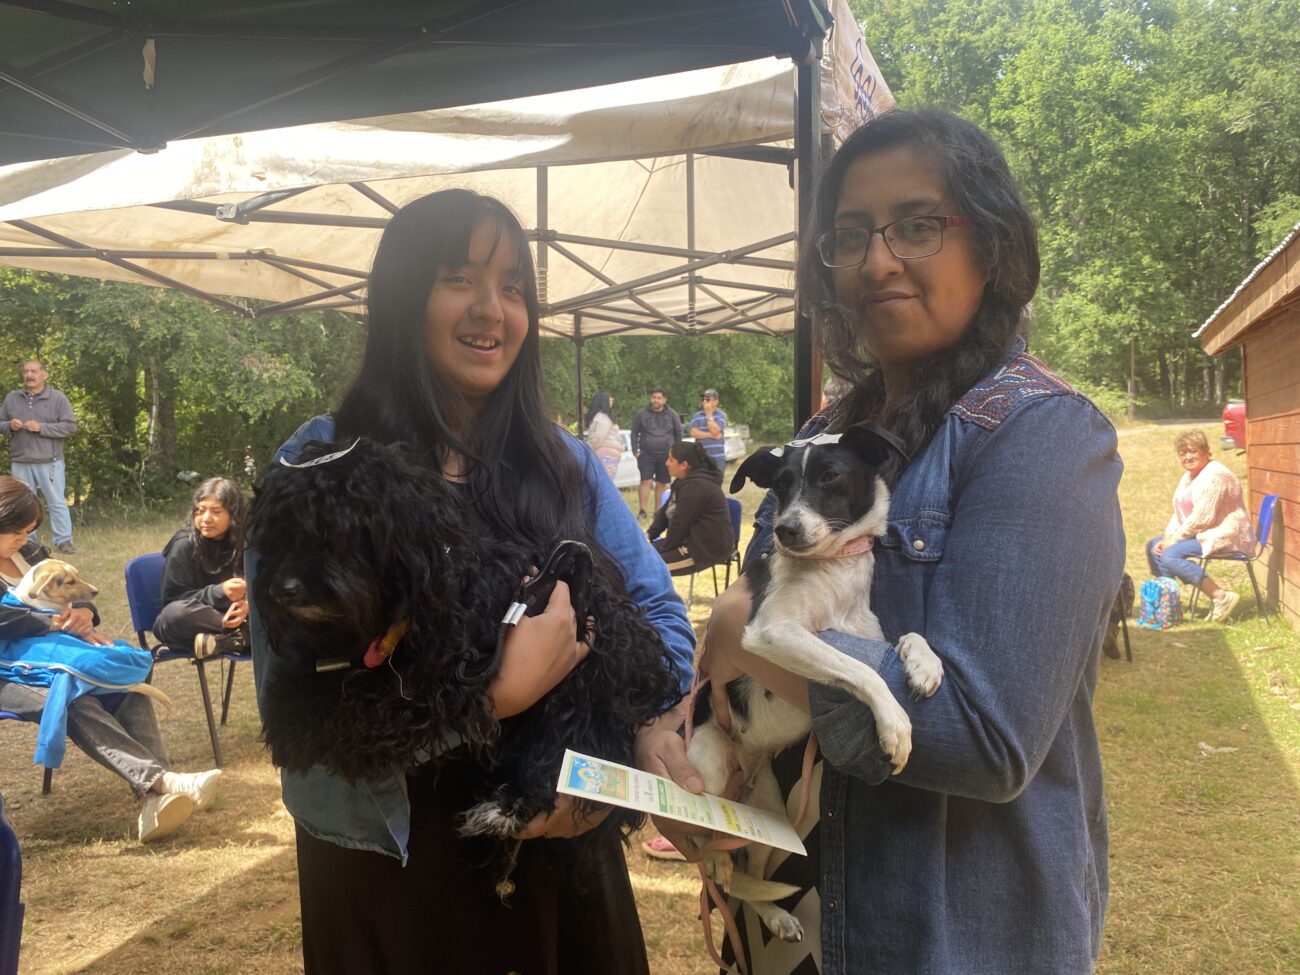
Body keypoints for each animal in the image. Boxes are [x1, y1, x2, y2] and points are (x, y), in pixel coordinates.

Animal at [686, 424, 944, 942]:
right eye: (779, 486)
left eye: (830, 477)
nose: (784, 530)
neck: (834, 571)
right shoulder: (773, 632)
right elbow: (863, 671)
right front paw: (895, 725)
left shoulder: (867, 636)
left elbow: (906, 638)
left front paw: (926, 665)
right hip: (712, 766)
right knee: (706, 846)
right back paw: (717, 863)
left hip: (775, 814)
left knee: (750, 875)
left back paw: (774, 914)